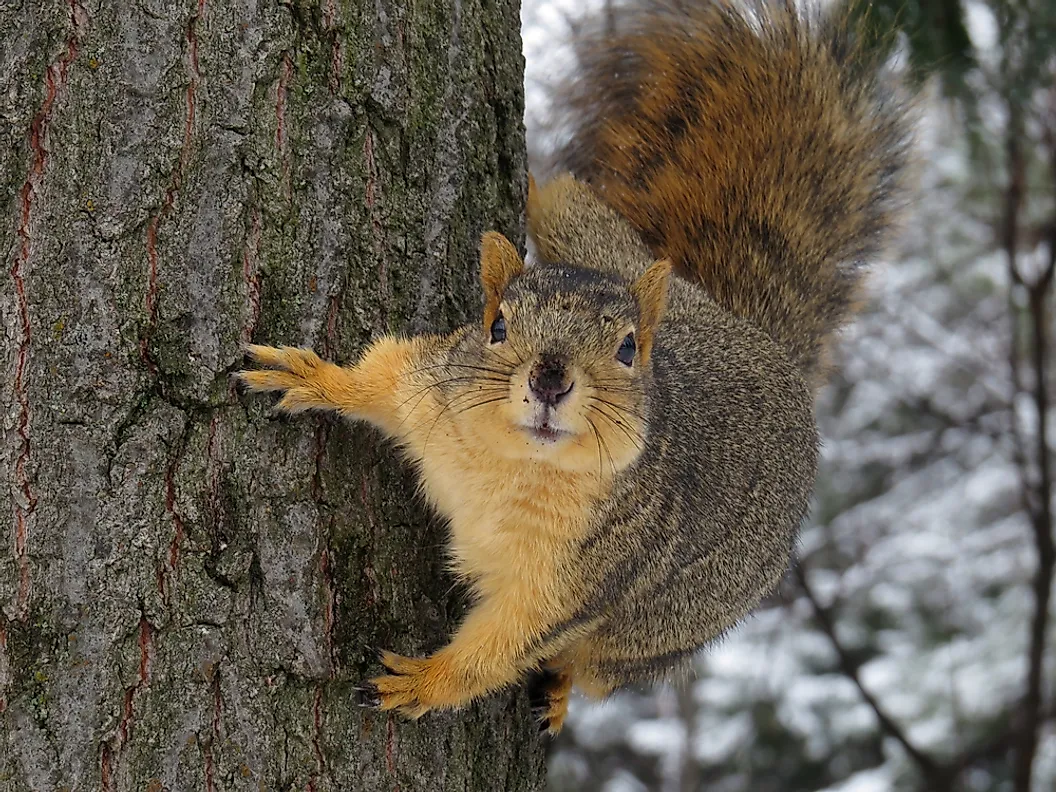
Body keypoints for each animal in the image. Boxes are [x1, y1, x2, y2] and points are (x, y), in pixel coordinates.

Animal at [237, 0, 908, 739]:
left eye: (627, 349)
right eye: (497, 325)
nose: (549, 380)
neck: (516, 462)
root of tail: (768, 351)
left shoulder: (579, 583)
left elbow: (506, 644)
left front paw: (425, 683)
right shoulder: (434, 391)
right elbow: (381, 378)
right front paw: (314, 378)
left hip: (652, 634)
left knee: (591, 669)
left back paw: (558, 694)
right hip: (595, 242)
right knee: (567, 201)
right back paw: (533, 178)